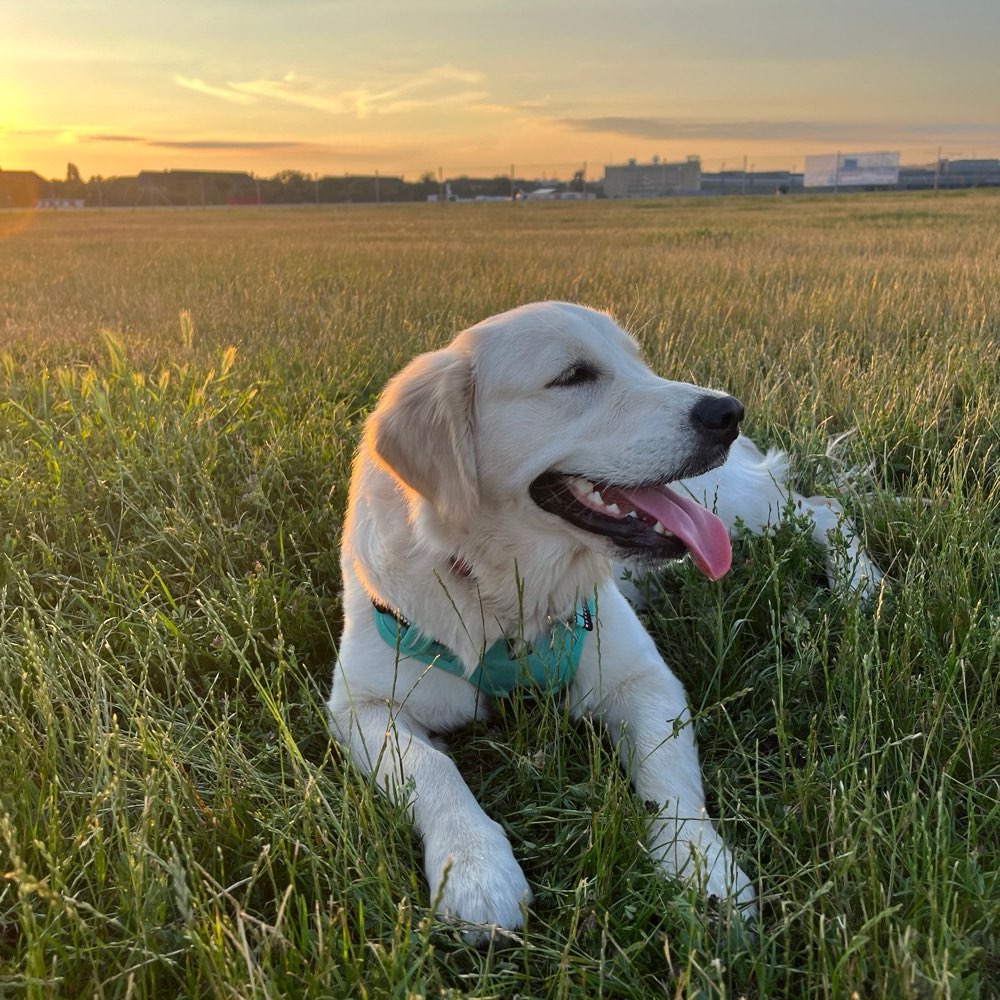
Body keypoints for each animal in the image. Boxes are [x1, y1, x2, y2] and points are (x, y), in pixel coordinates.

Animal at [326, 302, 876, 936]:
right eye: (573, 377)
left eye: (639, 362)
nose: (727, 412)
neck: (503, 589)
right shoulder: (361, 704)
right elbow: (432, 767)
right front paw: (475, 869)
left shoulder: (642, 678)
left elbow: (671, 782)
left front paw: (701, 870)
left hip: (736, 509)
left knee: (823, 508)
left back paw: (861, 584)